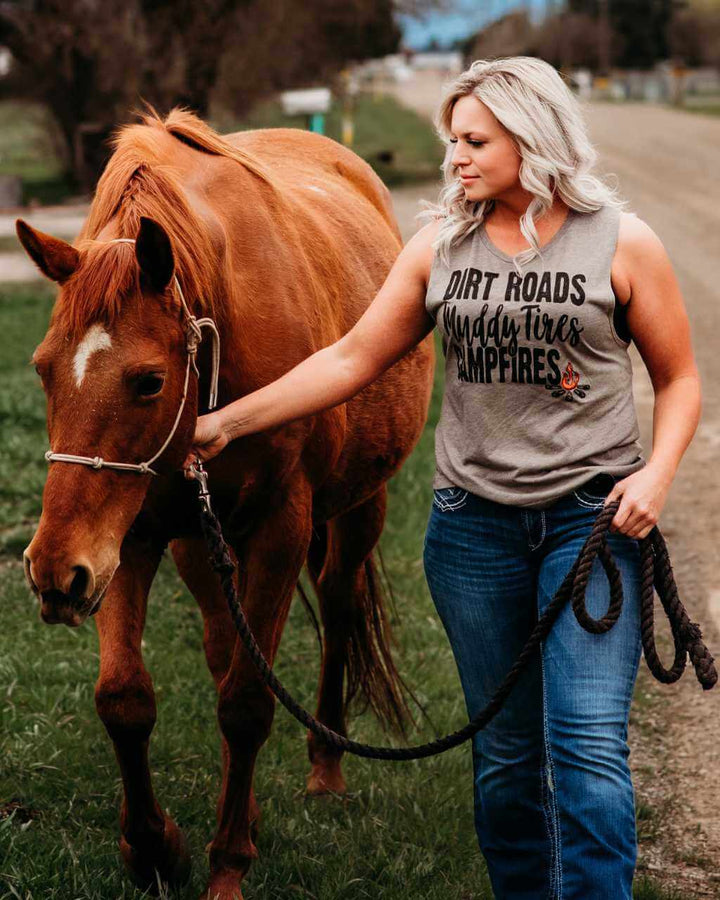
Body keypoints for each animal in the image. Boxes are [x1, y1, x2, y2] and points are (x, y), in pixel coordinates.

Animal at [18, 110, 434, 900]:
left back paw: (324, 766)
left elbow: (246, 704)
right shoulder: (132, 536)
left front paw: (227, 865)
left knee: (336, 608)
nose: (55, 573)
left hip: (359, 510)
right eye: (43, 368)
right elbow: (125, 698)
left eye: (149, 381)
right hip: (198, 541)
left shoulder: (280, 529)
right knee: (223, 644)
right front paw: (155, 850)